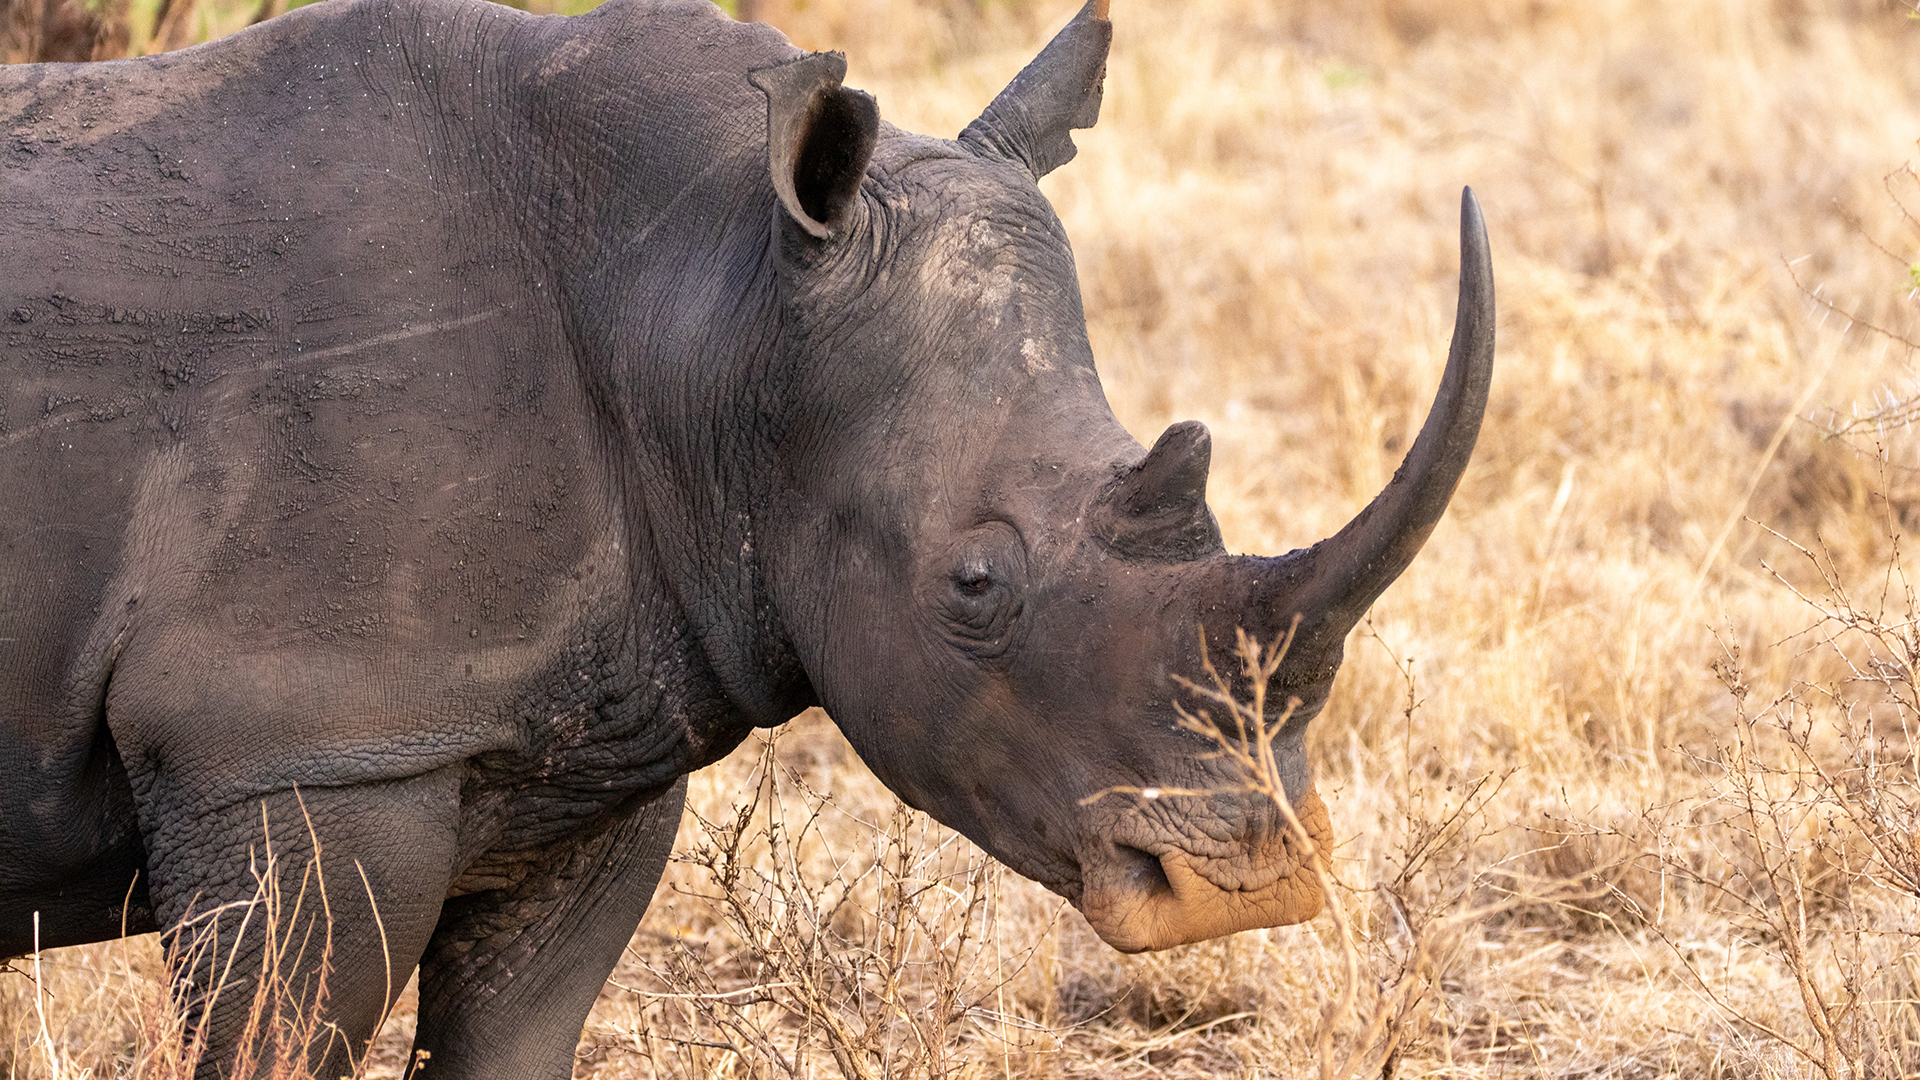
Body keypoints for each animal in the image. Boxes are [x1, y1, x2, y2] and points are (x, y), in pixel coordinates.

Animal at [0, 0, 1489, 1068]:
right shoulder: (300, 743)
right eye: (975, 583)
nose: (1244, 889)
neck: (711, 299)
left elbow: (518, 1033)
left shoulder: (578, 750)